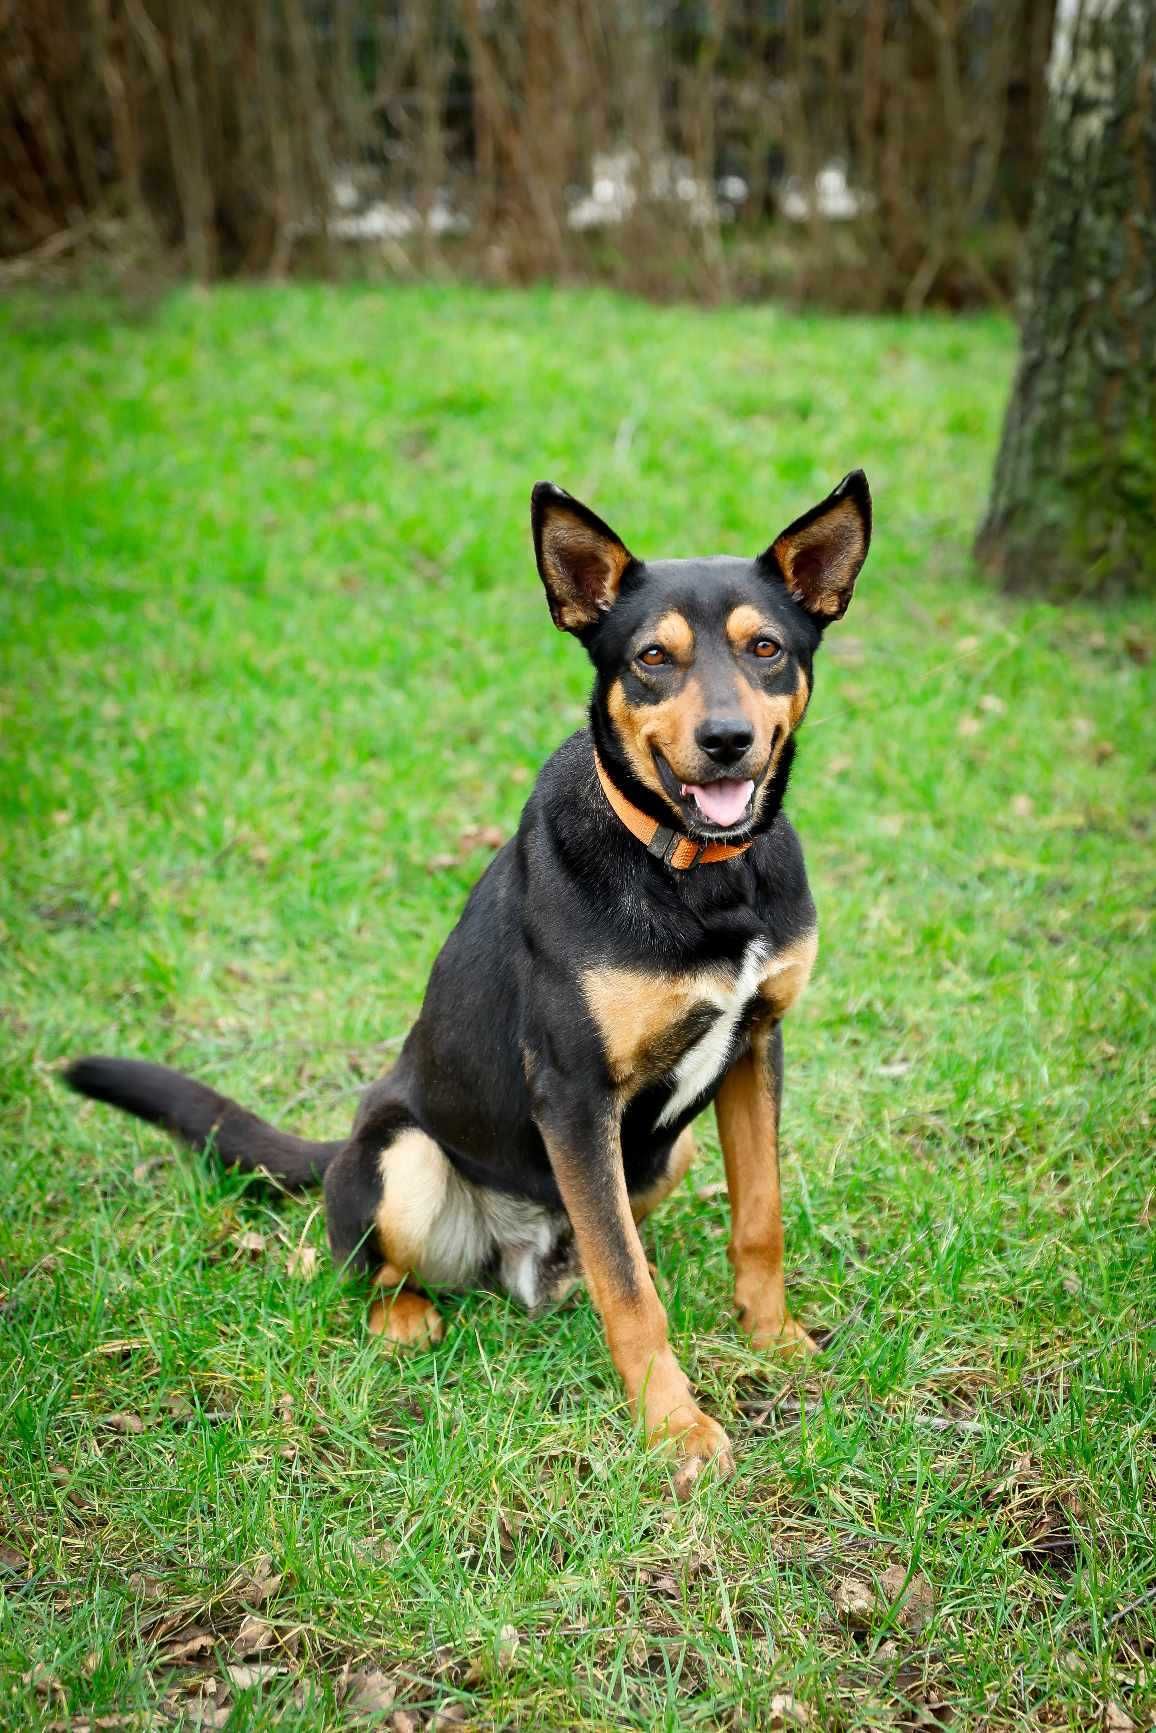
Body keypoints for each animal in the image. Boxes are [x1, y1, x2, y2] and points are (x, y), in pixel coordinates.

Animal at [65, 471, 866, 1490]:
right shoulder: (572, 1090)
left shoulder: (756, 1043)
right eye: (653, 657)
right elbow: (633, 1292)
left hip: (664, 1152)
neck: (699, 875)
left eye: (767, 649)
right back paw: (406, 1314)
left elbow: (758, 1220)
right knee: (361, 1266)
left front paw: (774, 1338)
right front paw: (675, 1428)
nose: (726, 740)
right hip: (405, 1160)